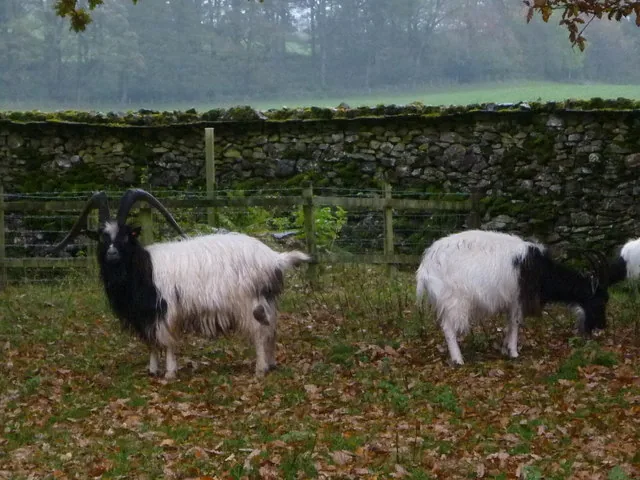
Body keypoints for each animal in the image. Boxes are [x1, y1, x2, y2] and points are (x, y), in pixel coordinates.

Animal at [50, 189, 311, 379]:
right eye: (104, 237)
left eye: (125, 236)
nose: (112, 255)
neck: (143, 267)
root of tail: (273, 258)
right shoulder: (146, 313)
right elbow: (151, 342)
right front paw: (152, 370)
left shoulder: (165, 309)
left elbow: (166, 341)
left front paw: (169, 372)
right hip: (267, 300)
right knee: (271, 330)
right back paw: (272, 363)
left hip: (248, 301)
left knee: (259, 331)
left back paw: (260, 369)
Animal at [416, 230, 610, 365]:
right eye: (600, 301)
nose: (602, 326)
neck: (542, 271)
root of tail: (425, 267)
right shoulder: (518, 298)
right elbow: (516, 323)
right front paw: (514, 352)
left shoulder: (511, 301)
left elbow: (509, 323)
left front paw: (505, 348)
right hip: (454, 300)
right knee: (448, 328)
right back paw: (458, 360)